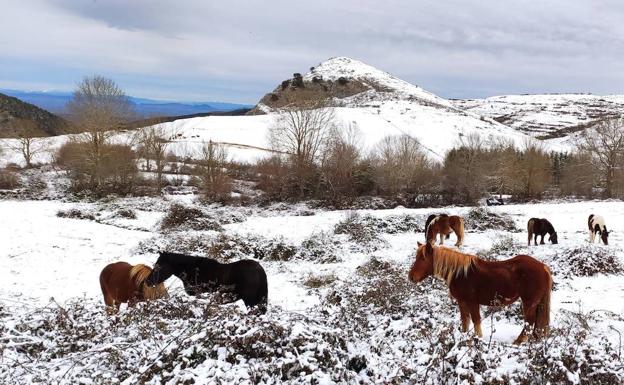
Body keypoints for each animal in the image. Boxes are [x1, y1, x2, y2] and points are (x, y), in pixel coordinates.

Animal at [410, 242, 552, 344]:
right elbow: (465, 321)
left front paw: (478, 339)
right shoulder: (462, 301)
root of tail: (542, 266)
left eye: (423, 258)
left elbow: (476, 320)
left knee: (529, 322)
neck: (460, 273)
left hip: (529, 302)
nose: (411, 277)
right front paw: (464, 337)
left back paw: (518, 342)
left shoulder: (472, 302)